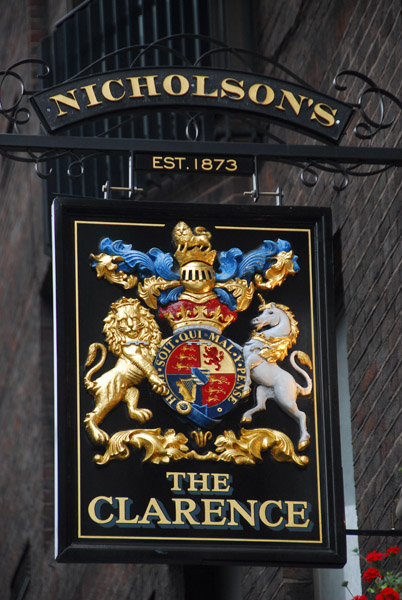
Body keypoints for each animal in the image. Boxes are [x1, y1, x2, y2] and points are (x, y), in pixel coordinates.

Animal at [84, 298, 167, 446]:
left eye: (134, 318)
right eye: (122, 320)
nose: (130, 327)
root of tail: (94, 384)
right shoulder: (134, 352)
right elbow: (147, 365)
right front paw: (157, 382)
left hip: (130, 391)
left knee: (131, 404)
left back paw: (141, 413)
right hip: (109, 396)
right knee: (91, 416)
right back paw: (98, 435)